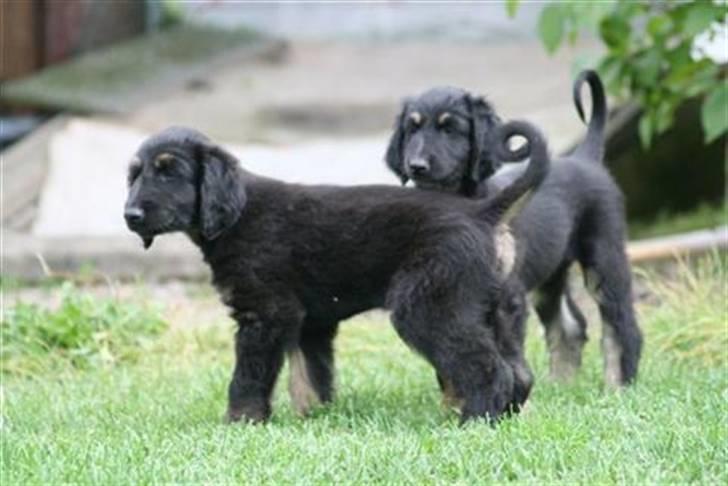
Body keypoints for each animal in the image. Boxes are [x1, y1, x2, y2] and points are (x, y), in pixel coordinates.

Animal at [125, 120, 548, 422]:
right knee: (519, 373)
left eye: (169, 172)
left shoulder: (266, 313)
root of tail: (483, 212)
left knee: (486, 368)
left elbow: (248, 376)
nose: (130, 215)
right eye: (135, 175)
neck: (236, 214)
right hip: (496, 309)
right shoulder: (309, 323)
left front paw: (240, 420)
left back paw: (474, 420)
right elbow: (310, 377)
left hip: (430, 306)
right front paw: (314, 417)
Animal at [386, 72, 644, 390]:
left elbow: (506, 357)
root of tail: (584, 158)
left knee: (620, 325)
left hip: (605, 255)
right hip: (549, 273)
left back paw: (618, 385)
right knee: (570, 327)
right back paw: (561, 386)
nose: (416, 166)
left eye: (450, 129)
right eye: (412, 129)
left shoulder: (508, 299)